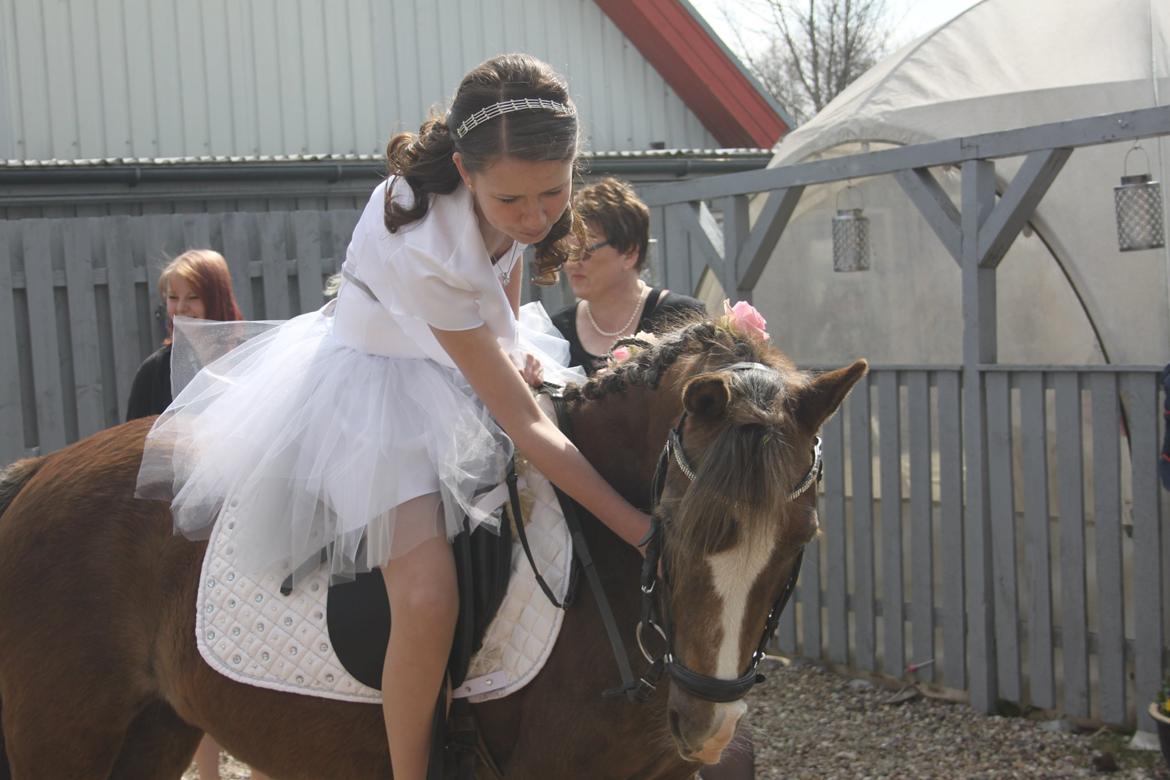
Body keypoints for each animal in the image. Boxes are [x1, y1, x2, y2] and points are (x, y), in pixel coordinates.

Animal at [0, 318, 866, 779]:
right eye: (674, 526)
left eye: (801, 539)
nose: (705, 722)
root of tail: (40, 471)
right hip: (62, 742)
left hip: (153, 732)